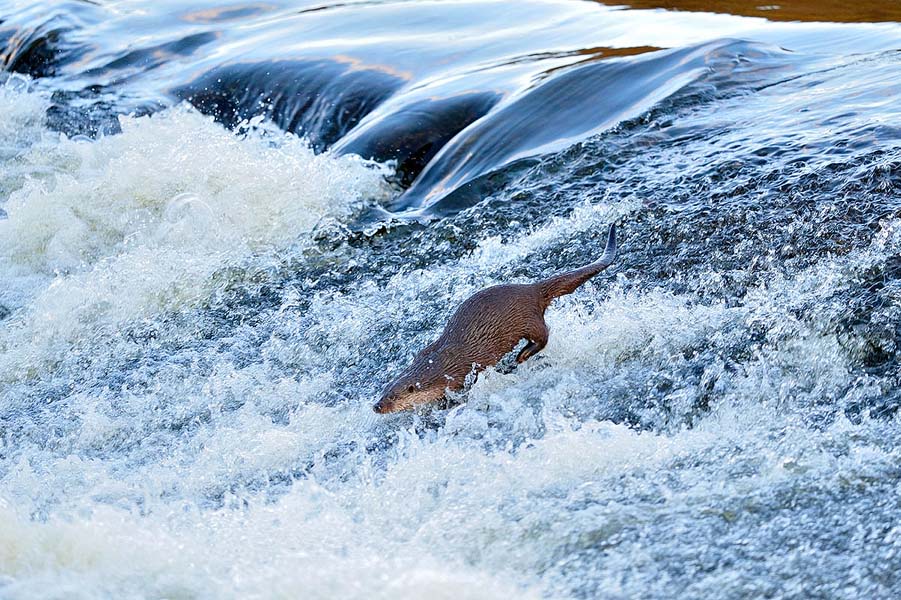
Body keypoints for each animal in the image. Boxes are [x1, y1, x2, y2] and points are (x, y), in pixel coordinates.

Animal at [374, 224, 617, 414]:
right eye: (383, 392)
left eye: (393, 397)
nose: (377, 406)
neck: (436, 366)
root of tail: (532, 289)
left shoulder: (460, 374)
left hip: (527, 317)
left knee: (543, 335)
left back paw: (522, 355)